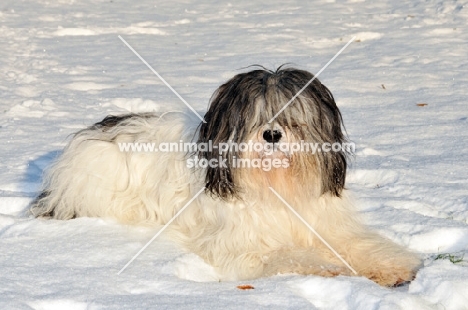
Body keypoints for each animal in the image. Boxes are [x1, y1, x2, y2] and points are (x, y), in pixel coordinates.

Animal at [31, 66, 422, 286]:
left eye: (293, 116)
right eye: (255, 116)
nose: (272, 135)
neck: (278, 186)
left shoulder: (326, 221)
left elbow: (359, 243)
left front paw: (393, 266)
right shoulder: (241, 244)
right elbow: (288, 255)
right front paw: (328, 268)